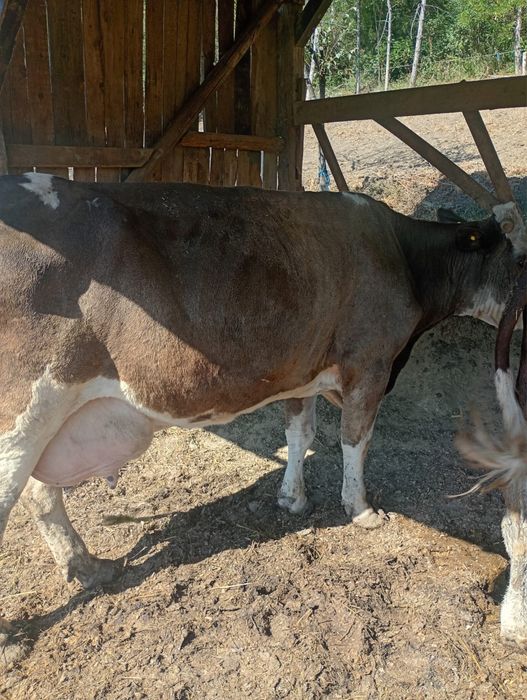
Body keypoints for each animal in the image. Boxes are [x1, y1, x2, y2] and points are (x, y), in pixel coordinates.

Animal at [0, 172, 525, 663]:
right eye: (521, 257)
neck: (404, 256)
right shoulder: (369, 363)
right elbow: (356, 440)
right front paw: (361, 510)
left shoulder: (301, 371)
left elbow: (300, 433)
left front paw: (292, 498)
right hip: (28, 408)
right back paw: (13, 632)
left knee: (41, 495)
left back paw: (89, 568)